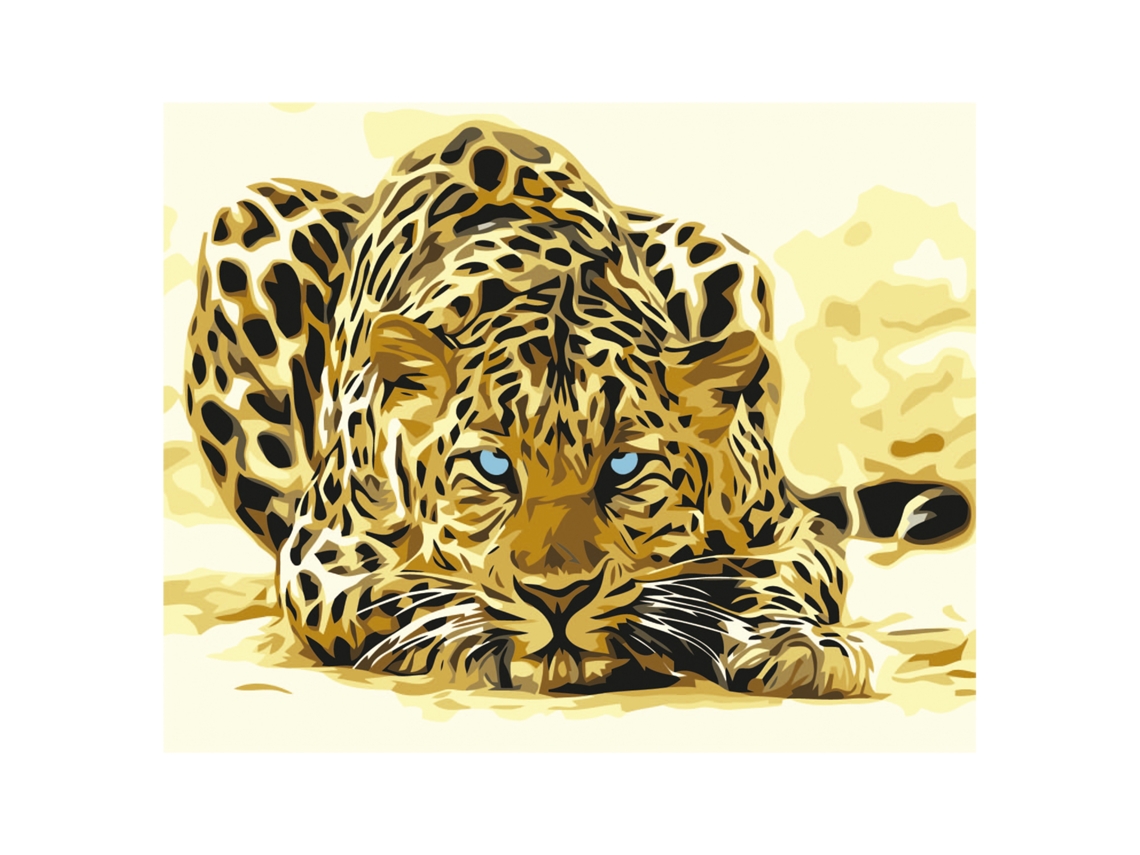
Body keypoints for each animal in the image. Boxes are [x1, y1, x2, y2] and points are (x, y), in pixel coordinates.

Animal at [184, 121, 889, 697]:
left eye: (624, 466)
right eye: (493, 467)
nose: (559, 597)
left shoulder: (793, 532)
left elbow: (757, 579)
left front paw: (801, 644)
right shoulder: (322, 557)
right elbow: (413, 595)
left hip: (720, 251)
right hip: (246, 221)